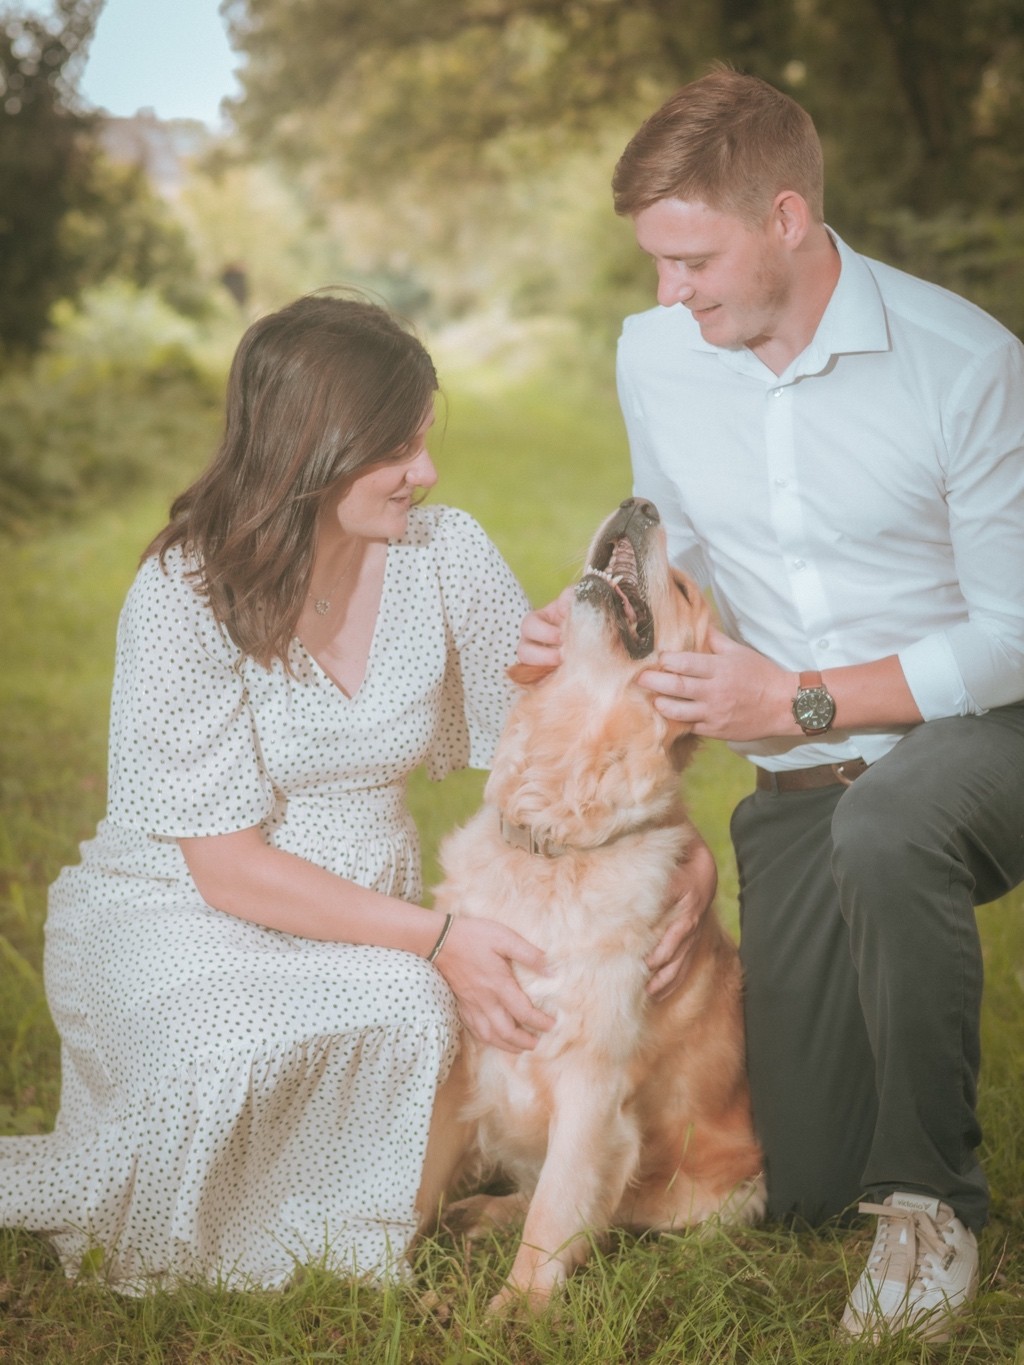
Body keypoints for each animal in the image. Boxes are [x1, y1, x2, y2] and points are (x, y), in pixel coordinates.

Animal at [417, 497, 765, 1311]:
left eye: (684, 589)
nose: (641, 502)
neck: (554, 838)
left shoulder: (591, 1082)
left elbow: (555, 1213)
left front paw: (511, 1317)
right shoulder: (465, 1054)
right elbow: (413, 1191)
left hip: (718, 1201)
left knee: (599, 1214)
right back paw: (479, 1211)